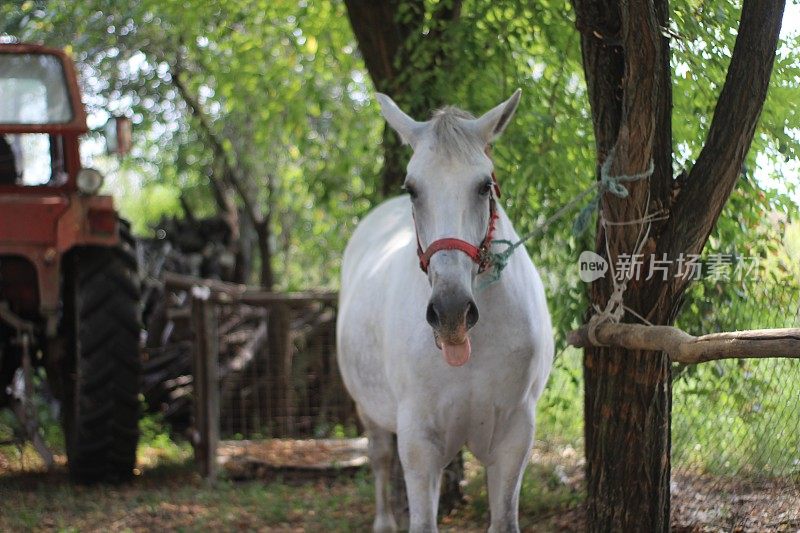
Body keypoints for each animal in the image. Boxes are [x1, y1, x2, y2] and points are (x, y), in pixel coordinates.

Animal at [334, 91, 552, 532]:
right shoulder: (419, 441)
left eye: (484, 185)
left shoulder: (514, 436)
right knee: (380, 458)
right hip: (370, 411)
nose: (451, 312)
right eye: (412, 188)